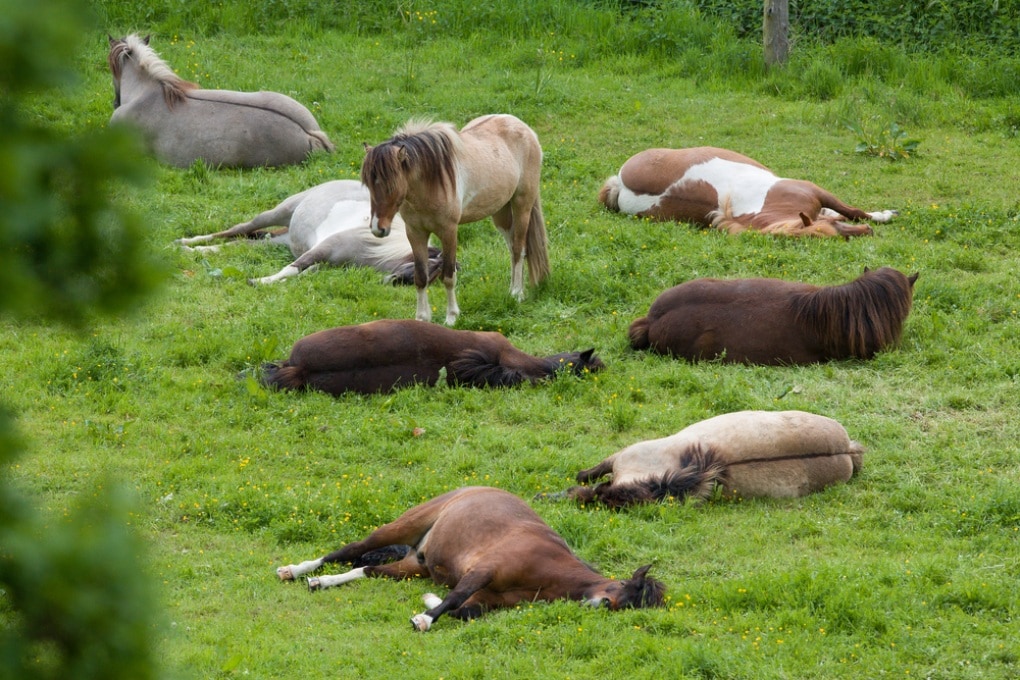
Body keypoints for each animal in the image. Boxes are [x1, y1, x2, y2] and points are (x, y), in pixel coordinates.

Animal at [175, 180, 444, 285]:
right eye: (425, 271)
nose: (389, 282)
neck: (374, 248)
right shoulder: (322, 249)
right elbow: (292, 268)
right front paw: (259, 282)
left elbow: (304, 272)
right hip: (278, 212)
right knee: (238, 229)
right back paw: (187, 243)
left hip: (279, 241)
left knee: (243, 243)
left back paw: (200, 250)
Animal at [276, 486, 665, 630]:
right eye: (624, 592)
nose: (597, 606)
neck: (550, 568)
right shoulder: (483, 570)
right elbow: (455, 598)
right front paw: (424, 619)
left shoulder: (487, 600)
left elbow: (463, 610)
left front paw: (427, 604)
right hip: (399, 528)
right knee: (348, 550)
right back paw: (297, 570)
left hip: (413, 565)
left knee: (367, 569)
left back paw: (321, 582)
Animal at [361, 114, 549, 325]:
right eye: (368, 184)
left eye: (391, 186)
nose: (378, 228)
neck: (430, 183)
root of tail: (524, 128)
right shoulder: (415, 233)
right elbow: (421, 277)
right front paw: (421, 318)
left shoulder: (449, 231)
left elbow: (449, 276)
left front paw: (451, 317)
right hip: (501, 213)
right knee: (513, 249)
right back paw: (514, 290)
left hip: (522, 205)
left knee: (518, 249)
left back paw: (516, 293)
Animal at [599, 147, 896, 237]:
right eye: (831, 235)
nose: (868, 233)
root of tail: (620, 184)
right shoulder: (815, 191)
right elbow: (851, 211)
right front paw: (883, 216)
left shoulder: (819, 194)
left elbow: (849, 211)